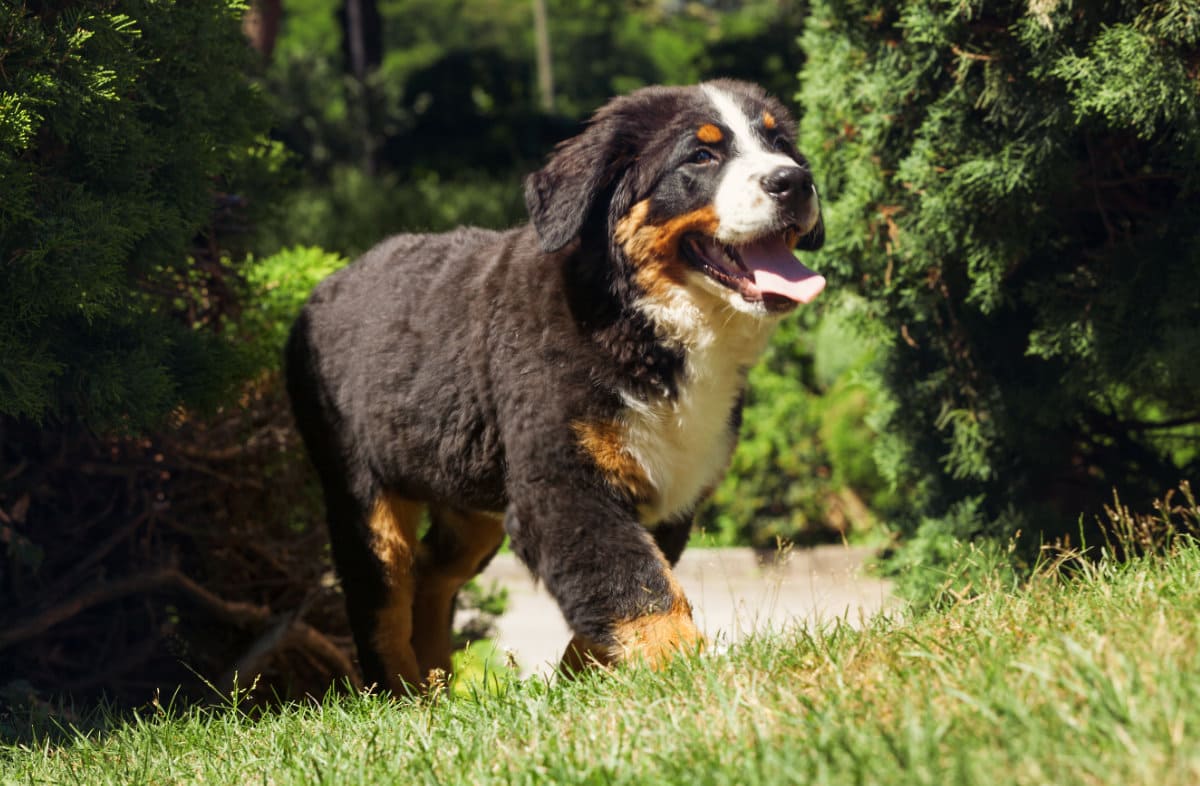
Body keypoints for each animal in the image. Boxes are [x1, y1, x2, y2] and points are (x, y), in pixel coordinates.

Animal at [285, 78, 825, 696]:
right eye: (700, 155)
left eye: (780, 144)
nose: (793, 180)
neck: (643, 325)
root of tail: (324, 285)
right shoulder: (561, 485)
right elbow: (637, 585)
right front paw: (684, 672)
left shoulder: (669, 491)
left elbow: (626, 589)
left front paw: (582, 683)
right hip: (363, 497)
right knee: (382, 604)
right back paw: (404, 697)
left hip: (472, 499)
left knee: (431, 574)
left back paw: (441, 689)